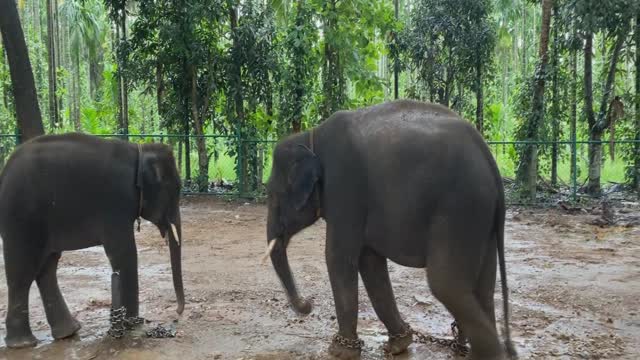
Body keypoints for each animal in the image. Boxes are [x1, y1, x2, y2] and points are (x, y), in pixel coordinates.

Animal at [0, 133, 185, 348]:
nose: (177, 313)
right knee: (22, 271)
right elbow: (123, 252)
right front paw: (133, 325)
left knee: (47, 267)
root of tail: (5, 171)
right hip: (21, 218)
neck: (141, 150)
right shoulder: (116, 202)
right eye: (174, 189)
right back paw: (23, 344)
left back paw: (67, 332)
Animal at [264, 99, 520, 360]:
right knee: (483, 287)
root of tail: (488, 157)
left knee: (446, 284)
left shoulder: (345, 189)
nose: (307, 304)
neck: (310, 136)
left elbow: (339, 258)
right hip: (482, 219)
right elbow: (370, 262)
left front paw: (339, 351)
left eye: (272, 194)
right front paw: (398, 345)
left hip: (461, 206)